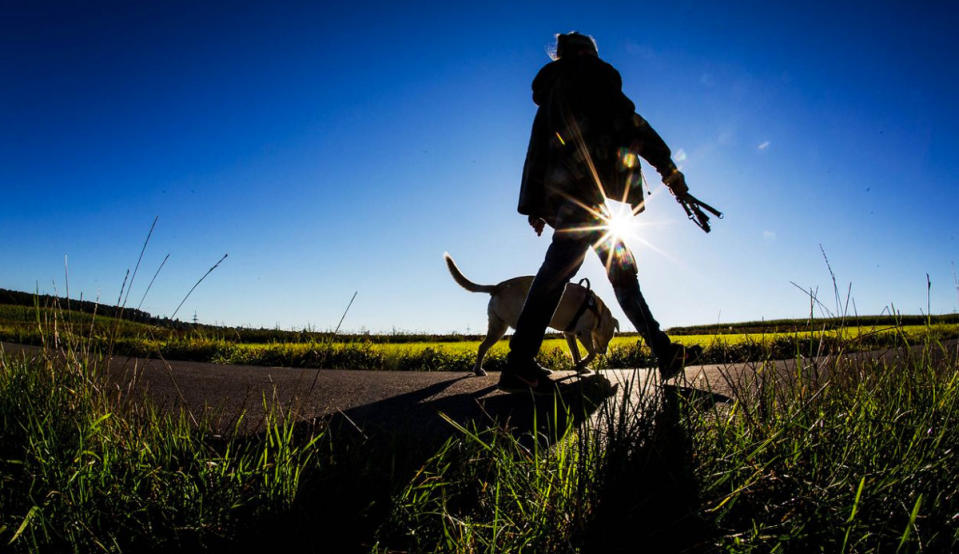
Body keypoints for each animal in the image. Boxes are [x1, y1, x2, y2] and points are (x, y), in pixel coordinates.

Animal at [444, 253, 624, 376]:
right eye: (611, 336)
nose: (605, 353)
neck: (597, 310)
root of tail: (498, 286)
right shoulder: (583, 332)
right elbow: (591, 352)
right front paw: (585, 363)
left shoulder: (569, 334)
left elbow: (575, 353)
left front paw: (581, 366)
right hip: (521, 322)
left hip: (498, 325)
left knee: (482, 346)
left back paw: (479, 369)